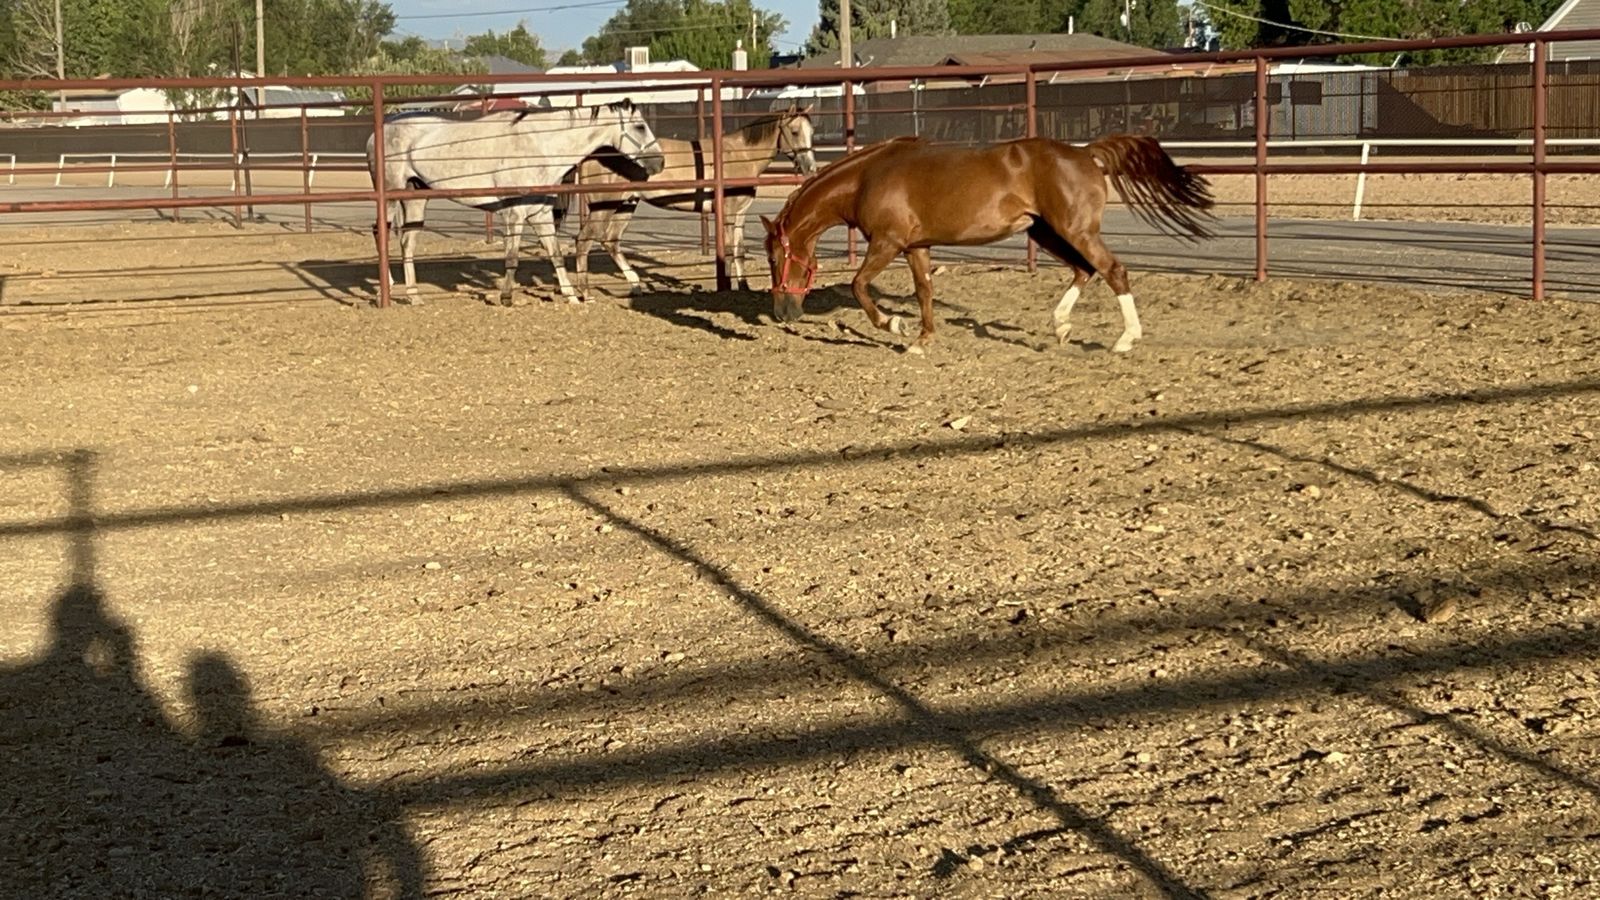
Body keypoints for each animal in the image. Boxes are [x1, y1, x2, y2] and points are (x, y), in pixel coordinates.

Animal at [367, 99, 666, 306]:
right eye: (640, 126)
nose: (660, 163)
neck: (539, 147)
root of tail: (377, 133)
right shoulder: (514, 214)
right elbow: (512, 258)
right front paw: (506, 297)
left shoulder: (540, 214)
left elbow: (555, 254)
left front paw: (571, 297)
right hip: (391, 195)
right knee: (380, 231)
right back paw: (387, 288)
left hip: (416, 197)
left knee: (407, 242)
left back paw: (414, 296)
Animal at [561, 105, 818, 300]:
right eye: (795, 131)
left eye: (811, 132)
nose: (811, 168)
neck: (739, 156)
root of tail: (593, 153)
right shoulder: (727, 213)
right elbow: (727, 250)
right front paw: (727, 287)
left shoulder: (740, 213)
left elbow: (739, 251)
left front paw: (744, 287)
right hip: (604, 206)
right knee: (584, 240)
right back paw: (585, 292)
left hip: (627, 204)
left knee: (610, 240)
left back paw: (636, 286)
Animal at [758, 134, 1216, 353]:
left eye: (776, 257)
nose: (782, 313)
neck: (868, 177)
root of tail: (1086, 154)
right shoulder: (916, 247)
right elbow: (924, 291)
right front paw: (922, 341)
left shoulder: (887, 243)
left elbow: (858, 285)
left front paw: (893, 324)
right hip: (1045, 231)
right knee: (1084, 271)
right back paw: (1061, 326)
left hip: (1075, 230)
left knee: (1112, 270)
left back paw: (1125, 339)